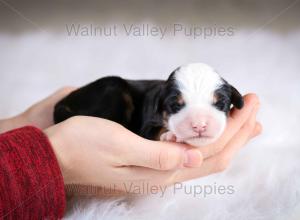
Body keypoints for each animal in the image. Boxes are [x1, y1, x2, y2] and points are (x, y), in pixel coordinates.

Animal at [54, 63, 244, 146]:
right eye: (176, 106)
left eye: (220, 103)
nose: (199, 125)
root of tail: (62, 103)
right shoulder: (148, 126)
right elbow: (156, 130)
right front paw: (171, 135)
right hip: (113, 88)